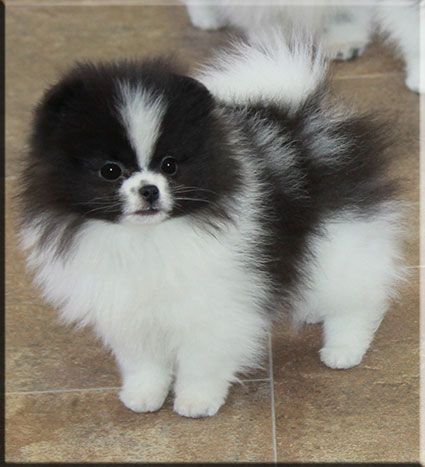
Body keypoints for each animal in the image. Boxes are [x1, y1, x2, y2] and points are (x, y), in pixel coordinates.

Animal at [18, 34, 404, 418]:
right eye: (110, 170)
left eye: (170, 165)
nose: (149, 189)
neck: (147, 237)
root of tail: (301, 117)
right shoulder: (129, 307)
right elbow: (143, 360)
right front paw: (144, 394)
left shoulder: (212, 303)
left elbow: (201, 359)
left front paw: (196, 400)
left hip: (341, 237)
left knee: (358, 296)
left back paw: (344, 348)